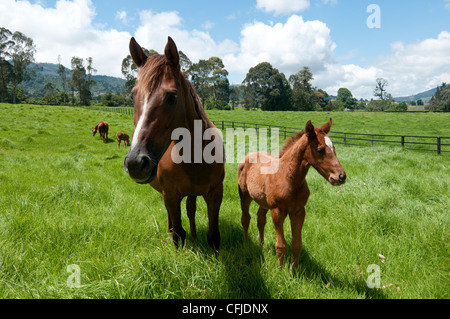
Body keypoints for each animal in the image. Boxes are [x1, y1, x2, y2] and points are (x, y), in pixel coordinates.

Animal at [124, 36, 224, 251]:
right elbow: (178, 235)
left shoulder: (214, 194)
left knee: (191, 209)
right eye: (133, 95)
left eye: (172, 96)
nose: (135, 163)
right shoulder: (170, 195)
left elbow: (213, 236)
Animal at [239, 119, 348, 268]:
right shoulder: (277, 211)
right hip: (245, 196)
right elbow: (281, 245)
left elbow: (297, 245)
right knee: (245, 219)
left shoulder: (298, 212)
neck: (288, 177)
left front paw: (293, 270)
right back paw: (246, 244)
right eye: (320, 150)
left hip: (264, 202)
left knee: (260, 219)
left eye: (334, 147)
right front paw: (279, 269)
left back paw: (261, 244)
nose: (341, 176)